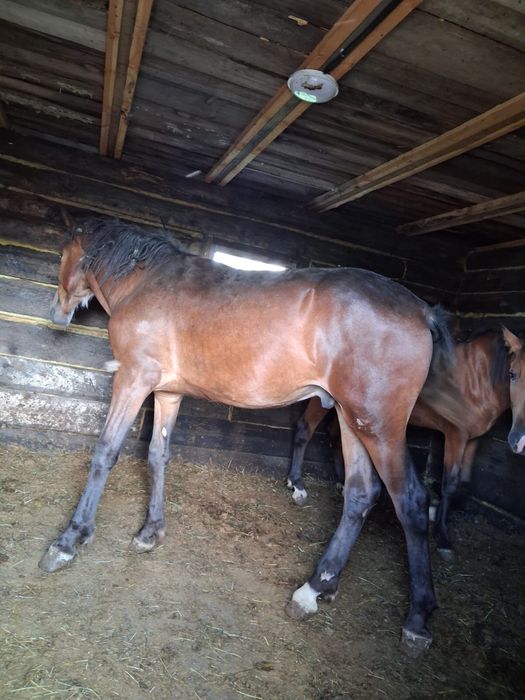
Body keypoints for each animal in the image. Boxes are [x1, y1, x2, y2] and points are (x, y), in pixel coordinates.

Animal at [41, 215, 459, 657]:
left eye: (62, 253)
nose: (57, 312)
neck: (147, 281)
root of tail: (423, 312)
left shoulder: (133, 379)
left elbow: (106, 452)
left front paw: (69, 540)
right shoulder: (168, 393)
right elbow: (157, 456)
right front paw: (151, 530)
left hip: (378, 426)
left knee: (411, 502)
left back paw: (417, 618)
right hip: (351, 420)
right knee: (360, 495)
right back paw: (315, 588)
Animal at [287, 329, 524, 560]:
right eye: (513, 374)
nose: (517, 440)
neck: (477, 377)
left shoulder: (474, 439)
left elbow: (464, 483)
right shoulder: (456, 434)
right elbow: (450, 484)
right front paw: (443, 537)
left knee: (335, 437)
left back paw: (341, 482)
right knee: (305, 431)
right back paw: (298, 484)